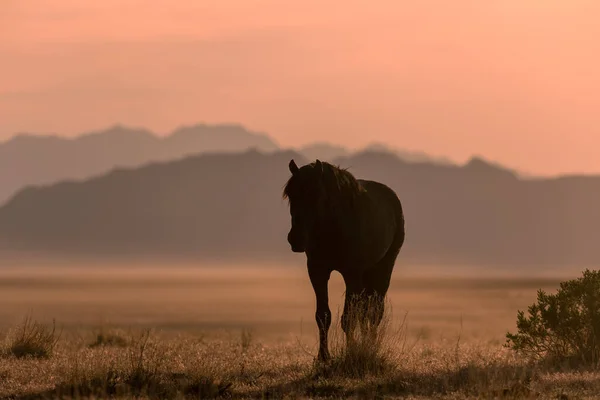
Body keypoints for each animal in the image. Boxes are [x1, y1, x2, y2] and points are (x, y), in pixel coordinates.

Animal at [284, 158, 406, 360]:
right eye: (290, 196)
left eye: (315, 194)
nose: (296, 238)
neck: (335, 227)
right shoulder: (317, 271)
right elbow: (323, 315)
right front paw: (323, 357)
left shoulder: (352, 274)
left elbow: (349, 318)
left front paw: (351, 351)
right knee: (365, 312)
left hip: (384, 267)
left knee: (374, 312)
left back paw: (371, 346)